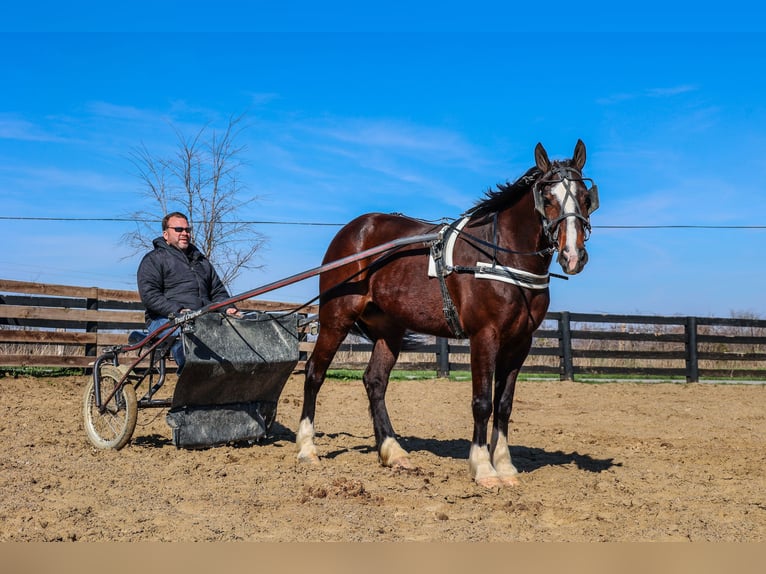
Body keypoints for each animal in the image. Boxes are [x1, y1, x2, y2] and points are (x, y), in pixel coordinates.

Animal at [296, 142, 604, 488]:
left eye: (585, 198)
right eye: (547, 199)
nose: (573, 256)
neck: (500, 257)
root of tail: (353, 230)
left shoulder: (520, 343)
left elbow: (504, 404)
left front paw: (505, 466)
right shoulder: (484, 336)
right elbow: (482, 402)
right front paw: (484, 468)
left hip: (390, 330)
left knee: (375, 381)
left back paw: (393, 452)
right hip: (336, 318)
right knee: (314, 373)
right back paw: (307, 449)